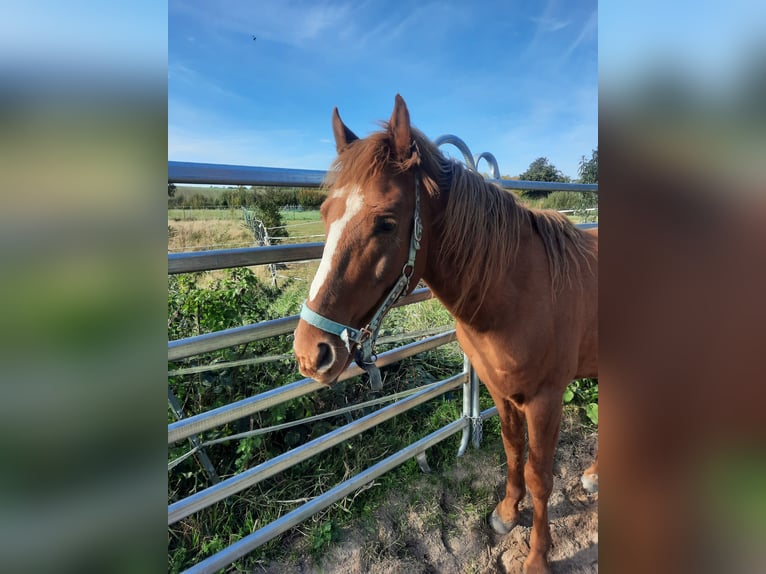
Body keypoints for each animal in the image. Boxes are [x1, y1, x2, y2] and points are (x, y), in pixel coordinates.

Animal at [293, 94, 598, 573]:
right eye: (325, 214)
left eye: (386, 222)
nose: (311, 353)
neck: (519, 291)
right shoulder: (500, 391)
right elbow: (513, 451)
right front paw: (507, 514)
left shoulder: (546, 400)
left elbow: (540, 475)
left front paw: (537, 557)